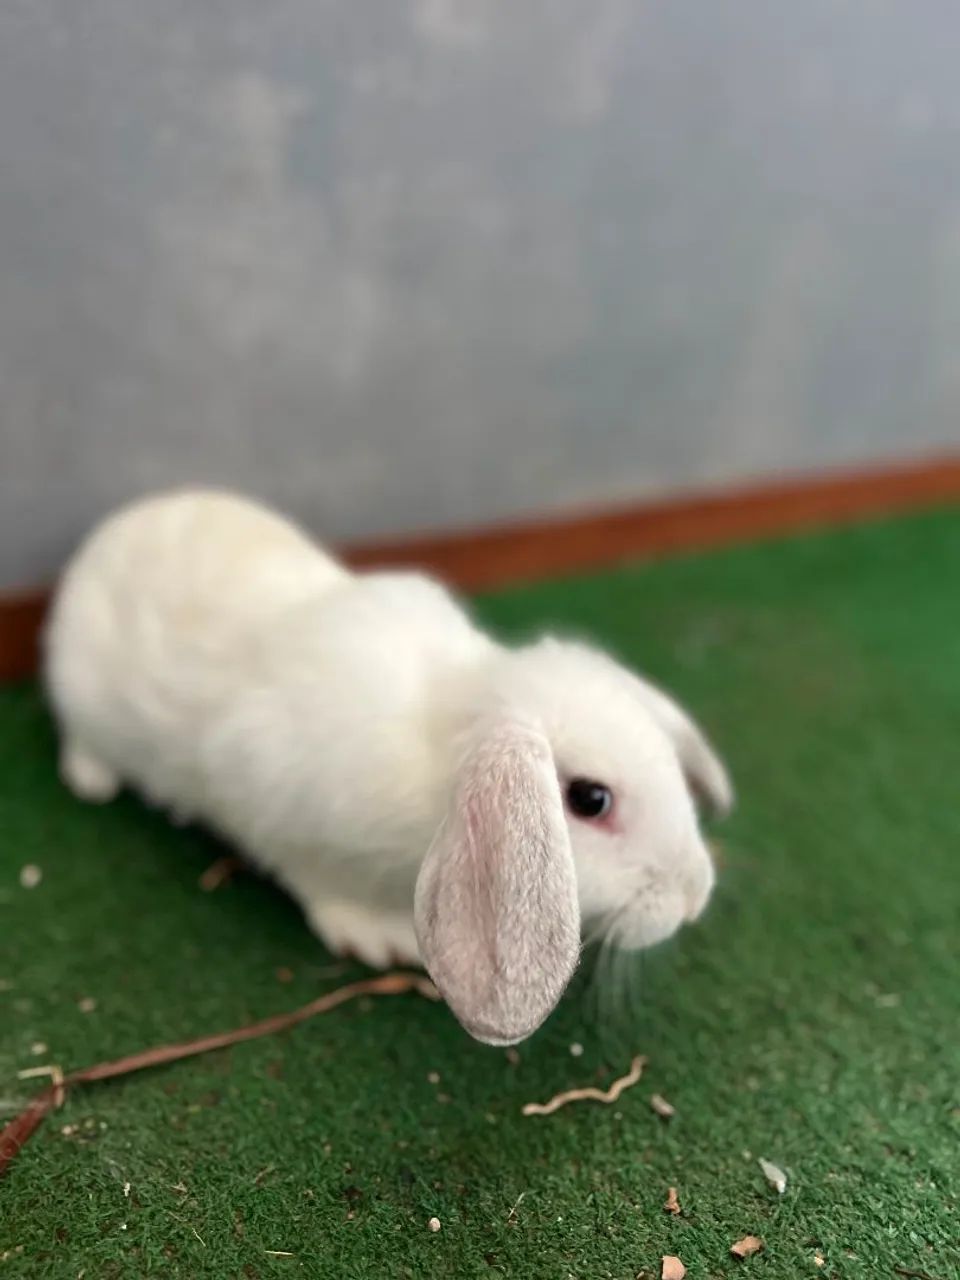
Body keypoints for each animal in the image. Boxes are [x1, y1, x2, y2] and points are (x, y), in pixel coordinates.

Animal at [44, 488, 733, 1046]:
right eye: (590, 799)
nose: (693, 898)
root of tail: (115, 529)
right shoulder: (277, 805)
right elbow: (318, 880)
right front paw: (377, 939)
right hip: (81, 694)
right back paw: (93, 781)